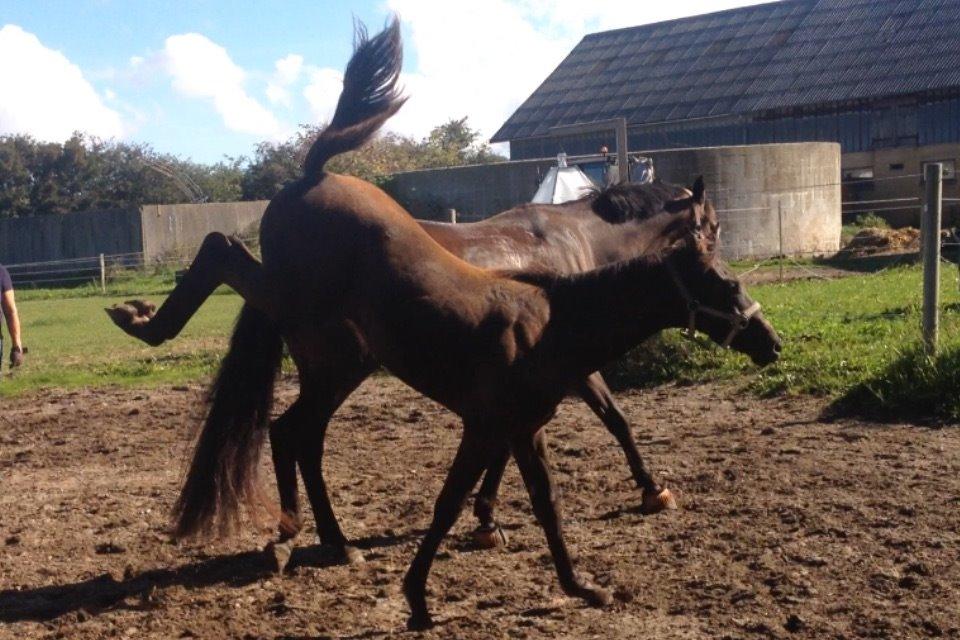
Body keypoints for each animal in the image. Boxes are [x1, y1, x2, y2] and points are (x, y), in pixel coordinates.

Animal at [107, 18, 780, 632]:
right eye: (715, 243)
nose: (770, 342)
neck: (568, 267)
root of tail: (315, 172)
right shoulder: (543, 393)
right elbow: (608, 424)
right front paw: (645, 492)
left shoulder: (514, 414)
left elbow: (524, 479)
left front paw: (494, 528)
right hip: (312, 323)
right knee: (223, 256)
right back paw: (146, 324)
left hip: (326, 355)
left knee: (295, 430)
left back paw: (315, 537)